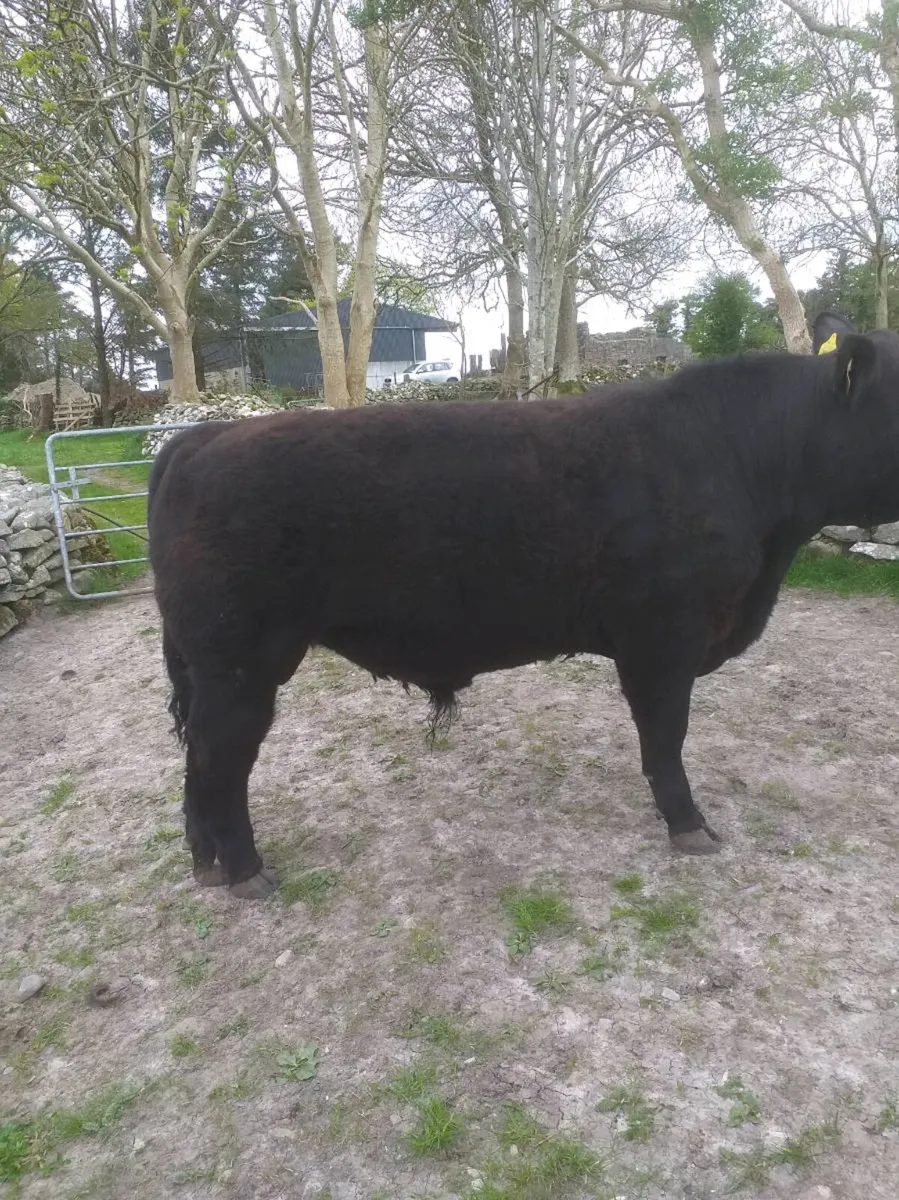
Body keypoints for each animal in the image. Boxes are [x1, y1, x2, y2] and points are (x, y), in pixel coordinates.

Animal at [147, 311, 899, 899]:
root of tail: (202, 437)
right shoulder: (663, 639)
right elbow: (665, 737)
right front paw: (689, 825)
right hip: (240, 662)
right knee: (219, 757)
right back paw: (245, 870)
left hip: (209, 665)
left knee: (195, 760)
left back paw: (207, 863)